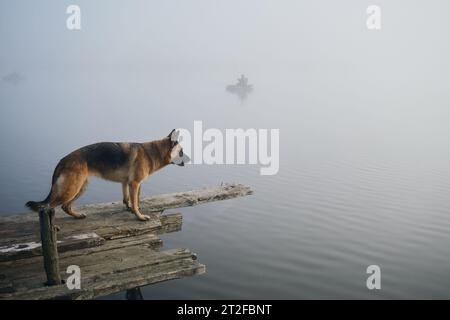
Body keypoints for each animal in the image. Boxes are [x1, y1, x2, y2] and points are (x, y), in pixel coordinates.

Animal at [26, 129, 188, 221]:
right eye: (181, 152)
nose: (189, 160)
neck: (152, 152)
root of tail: (63, 160)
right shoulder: (135, 184)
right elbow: (136, 202)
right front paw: (139, 216)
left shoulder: (126, 183)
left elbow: (127, 199)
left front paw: (129, 208)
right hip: (71, 189)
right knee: (49, 207)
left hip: (81, 187)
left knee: (65, 206)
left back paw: (77, 216)